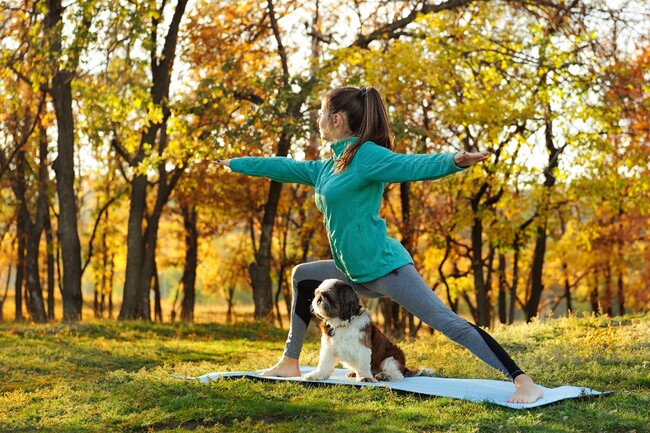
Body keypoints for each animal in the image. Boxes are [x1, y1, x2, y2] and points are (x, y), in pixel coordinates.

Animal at [304, 276, 436, 382]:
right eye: (316, 294)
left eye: (328, 297)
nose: (318, 299)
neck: (342, 324)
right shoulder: (328, 348)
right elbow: (324, 364)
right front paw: (317, 375)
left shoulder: (363, 347)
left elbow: (363, 365)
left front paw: (364, 377)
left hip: (391, 357)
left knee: (397, 374)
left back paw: (384, 375)